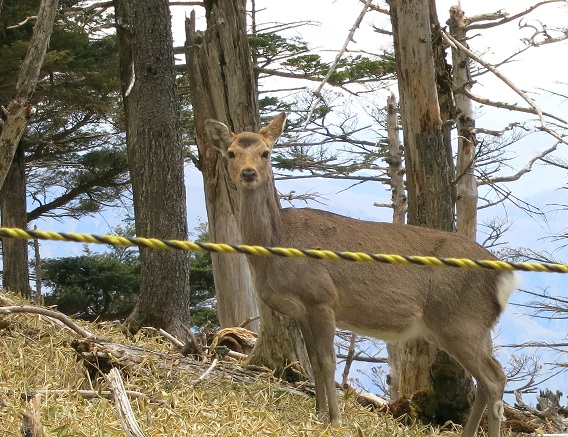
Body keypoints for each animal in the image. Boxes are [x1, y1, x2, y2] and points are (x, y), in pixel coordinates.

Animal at [205, 113, 520, 436]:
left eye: (266, 153)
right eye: (231, 153)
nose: (248, 173)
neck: (278, 245)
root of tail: (505, 277)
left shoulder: (321, 298)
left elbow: (327, 362)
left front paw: (334, 419)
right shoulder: (301, 310)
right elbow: (314, 362)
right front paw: (319, 414)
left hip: (460, 321)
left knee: (494, 377)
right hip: (476, 325)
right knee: (487, 378)